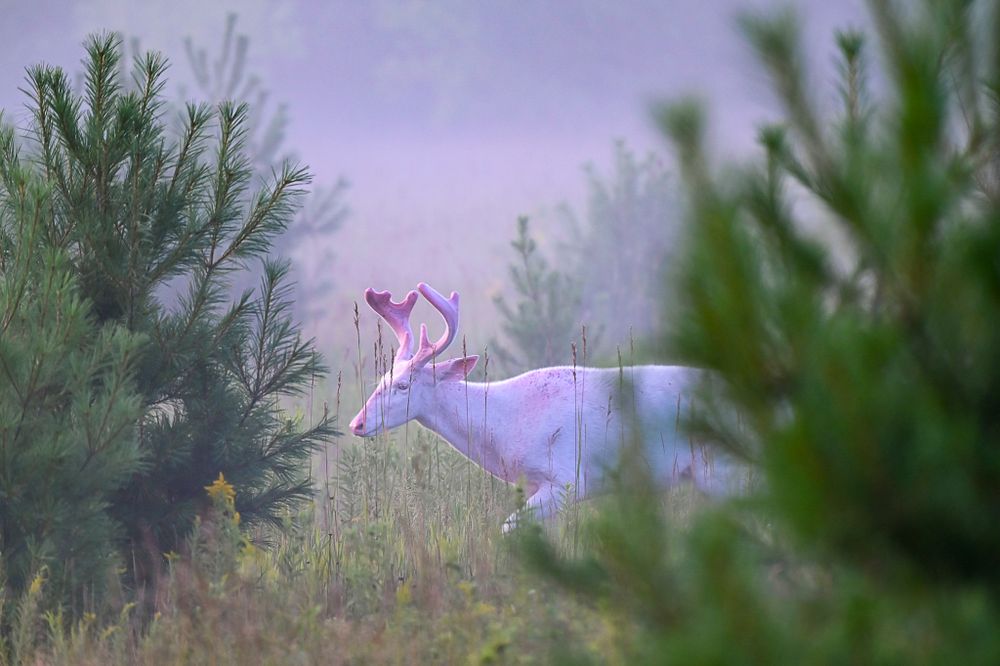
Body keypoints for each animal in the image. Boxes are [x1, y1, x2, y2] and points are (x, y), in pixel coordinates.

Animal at [348, 283, 740, 533]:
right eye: (381, 378)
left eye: (403, 385)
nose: (358, 423)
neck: (504, 427)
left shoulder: (567, 477)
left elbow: (507, 528)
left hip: (724, 469)